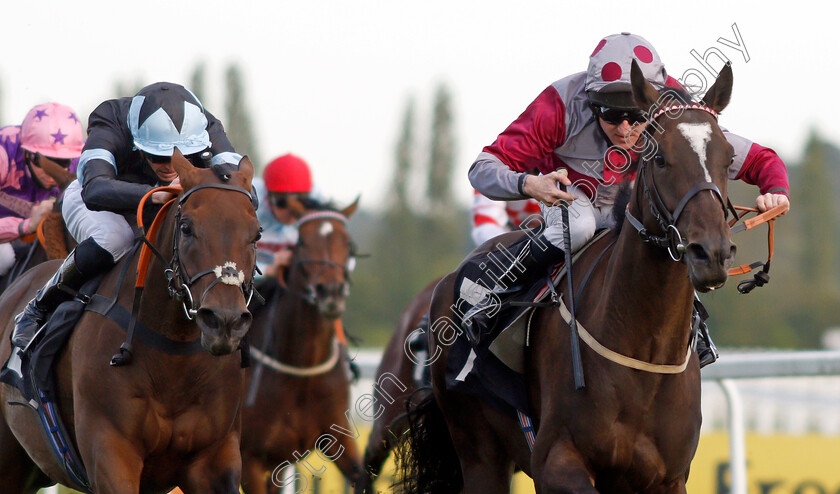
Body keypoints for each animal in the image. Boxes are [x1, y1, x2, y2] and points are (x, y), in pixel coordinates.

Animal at [0, 151, 260, 494]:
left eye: (256, 234)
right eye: (187, 228)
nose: (224, 321)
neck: (173, 356)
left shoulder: (214, 459)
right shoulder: (111, 453)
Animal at [240, 197, 364, 494]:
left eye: (348, 244)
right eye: (303, 242)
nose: (330, 292)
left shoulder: (338, 437)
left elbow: (363, 477)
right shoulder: (249, 460)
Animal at [404, 59, 740, 492]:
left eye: (728, 157)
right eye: (661, 158)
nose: (711, 253)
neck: (643, 355)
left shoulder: (668, 478)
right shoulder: (555, 459)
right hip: (478, 449)